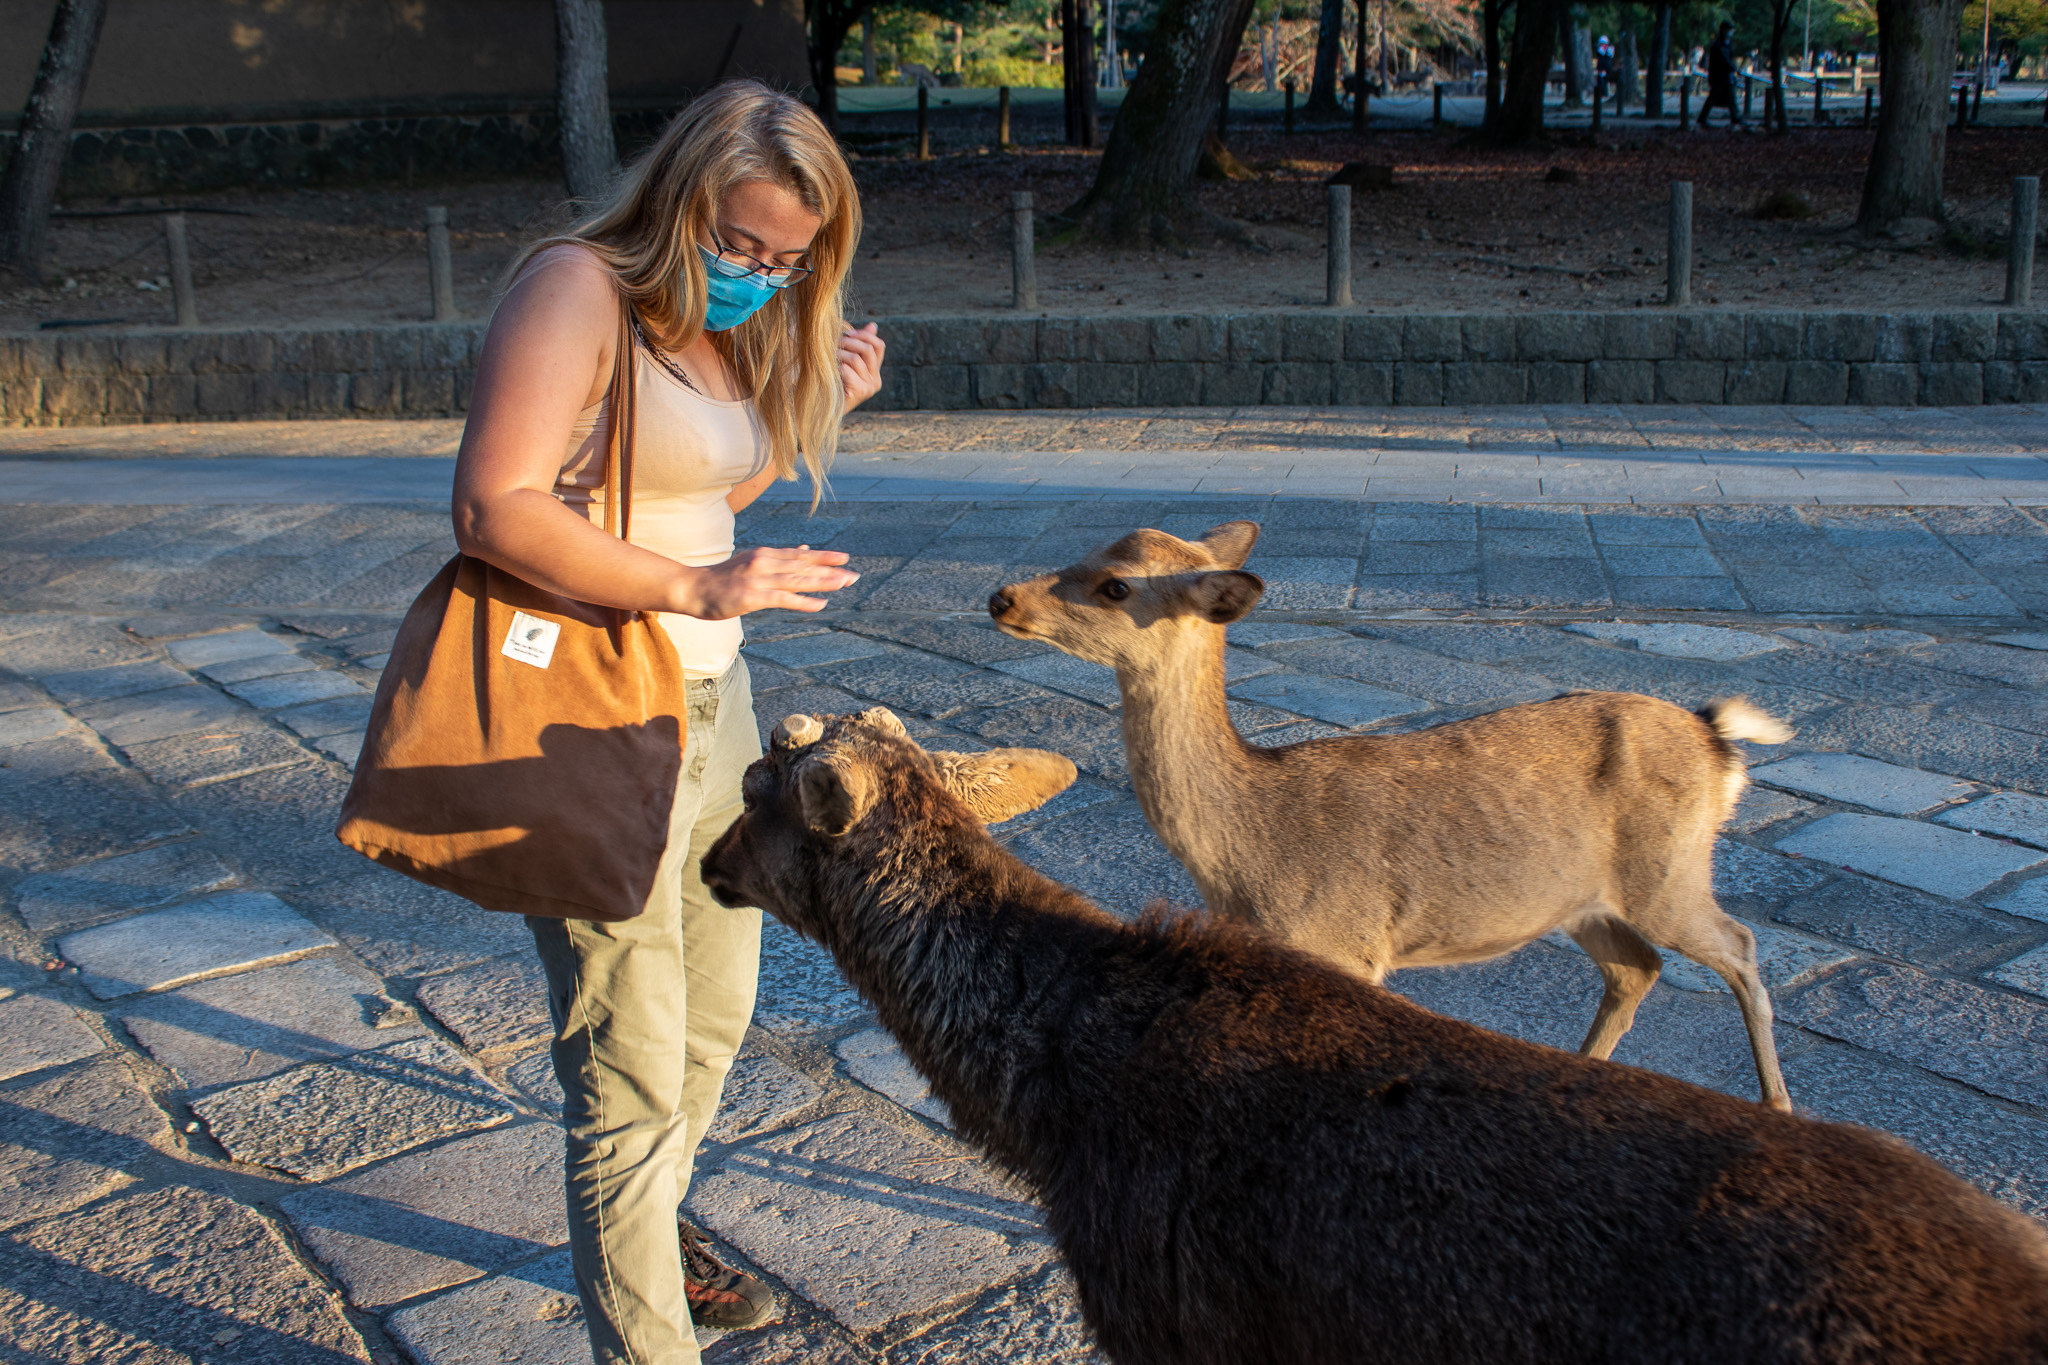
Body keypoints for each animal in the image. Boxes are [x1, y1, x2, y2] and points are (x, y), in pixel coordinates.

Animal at [983, 519, 1802, 1113]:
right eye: (1084, 550)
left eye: (1116, 584)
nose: (1001, 597)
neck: (1246, 857)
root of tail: (1718, 741)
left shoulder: (1346, 944)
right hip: (1582, 899)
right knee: (1638, 966)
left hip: (1669, 872)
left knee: (1741, 945)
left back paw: (1778, 1106)